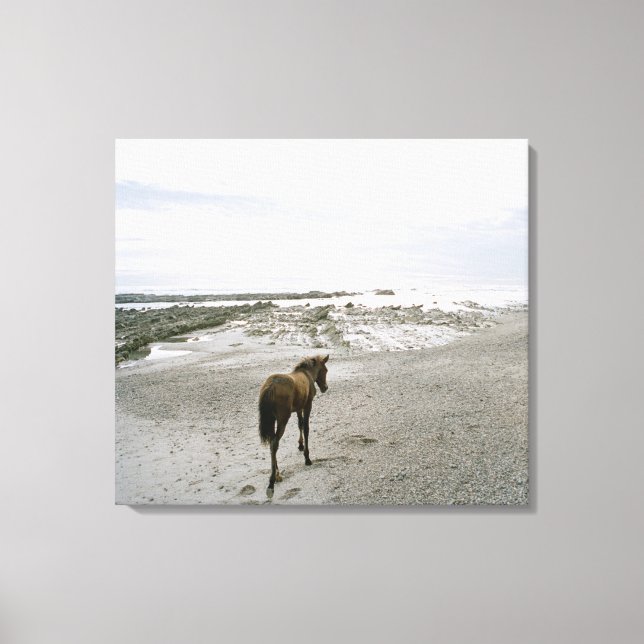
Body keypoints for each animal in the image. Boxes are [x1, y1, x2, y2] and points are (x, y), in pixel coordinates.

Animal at [258, 354, 329, 497]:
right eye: (325, 370)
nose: (325, 387)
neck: (307, 374)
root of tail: (270, 387)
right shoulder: (307, 405)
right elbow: (306, 428)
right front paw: (307, 458)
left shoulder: (298, 408)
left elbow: (300, 425)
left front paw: (300, 445)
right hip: (282, 419)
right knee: (275, 443)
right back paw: (271, 482)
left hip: (272, 420)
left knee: (272, 443)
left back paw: (277, 474)